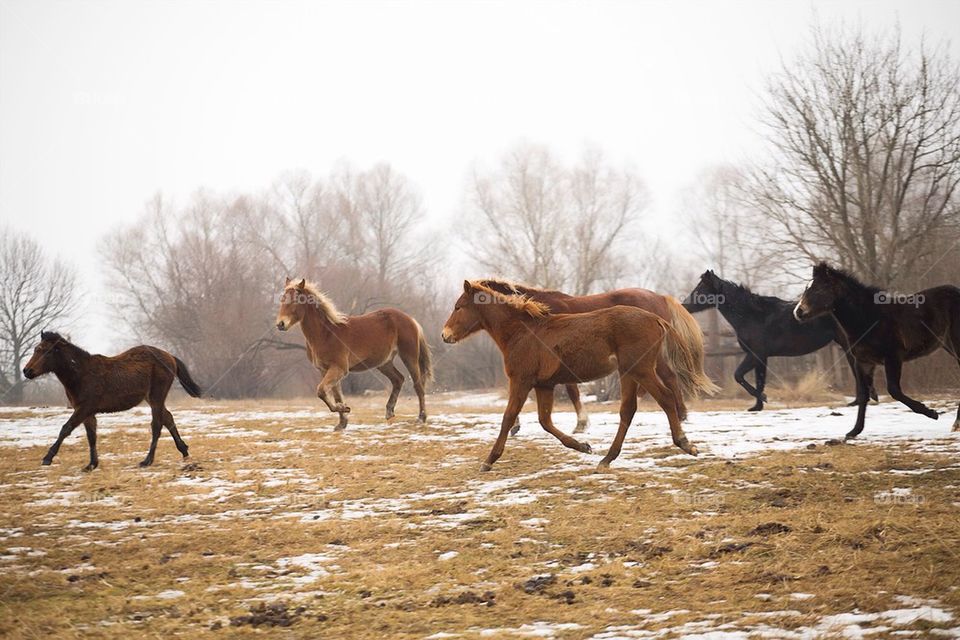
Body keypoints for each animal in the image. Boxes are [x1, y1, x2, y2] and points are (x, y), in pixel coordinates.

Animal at [21, 331, 202, 471]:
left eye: (46, 351)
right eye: (36, 349)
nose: (27, 371)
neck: (81, 373)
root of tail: (170, 356)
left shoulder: (84, 408)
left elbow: (66, 429)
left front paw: (47, 458)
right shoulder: (87, 412)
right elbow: (91, 435)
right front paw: (91, 464)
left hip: (157, 396)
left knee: (157, 425)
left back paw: (147, 460)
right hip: (151, 398)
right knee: (168, 418)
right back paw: (184, 451)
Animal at [274, 278, 432, 429]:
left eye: (295, 300)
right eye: (282, 299)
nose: (280, 324)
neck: (326, 333)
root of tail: (411, 319)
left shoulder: (339, 368)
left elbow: (321, 391)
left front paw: (344, 408)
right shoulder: (325, 370)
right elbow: (334, 395)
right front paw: (342, 421)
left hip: (409, 356)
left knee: (418, 386)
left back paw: (421, 418)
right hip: (384, 363)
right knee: (398, 379)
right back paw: (389, 411)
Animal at [683, 270, 876, 411]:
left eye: (700, 289)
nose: (684, 305)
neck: (752, 316)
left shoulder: (756, 354)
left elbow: (738, 375)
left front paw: (763, 399)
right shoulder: (761, 358)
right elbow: (759, 380)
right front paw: (757, 406)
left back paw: (862, 399)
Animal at [794, 262, 960, 439]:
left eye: (819, 289)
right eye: (807, 288)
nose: (798, 312)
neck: (868, 318)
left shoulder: (892, 357)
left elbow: (894, 390)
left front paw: (931, 412)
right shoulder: (863, 362)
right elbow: (863, 394)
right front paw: (854, 431)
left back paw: (955, 423)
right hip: (948, 345)